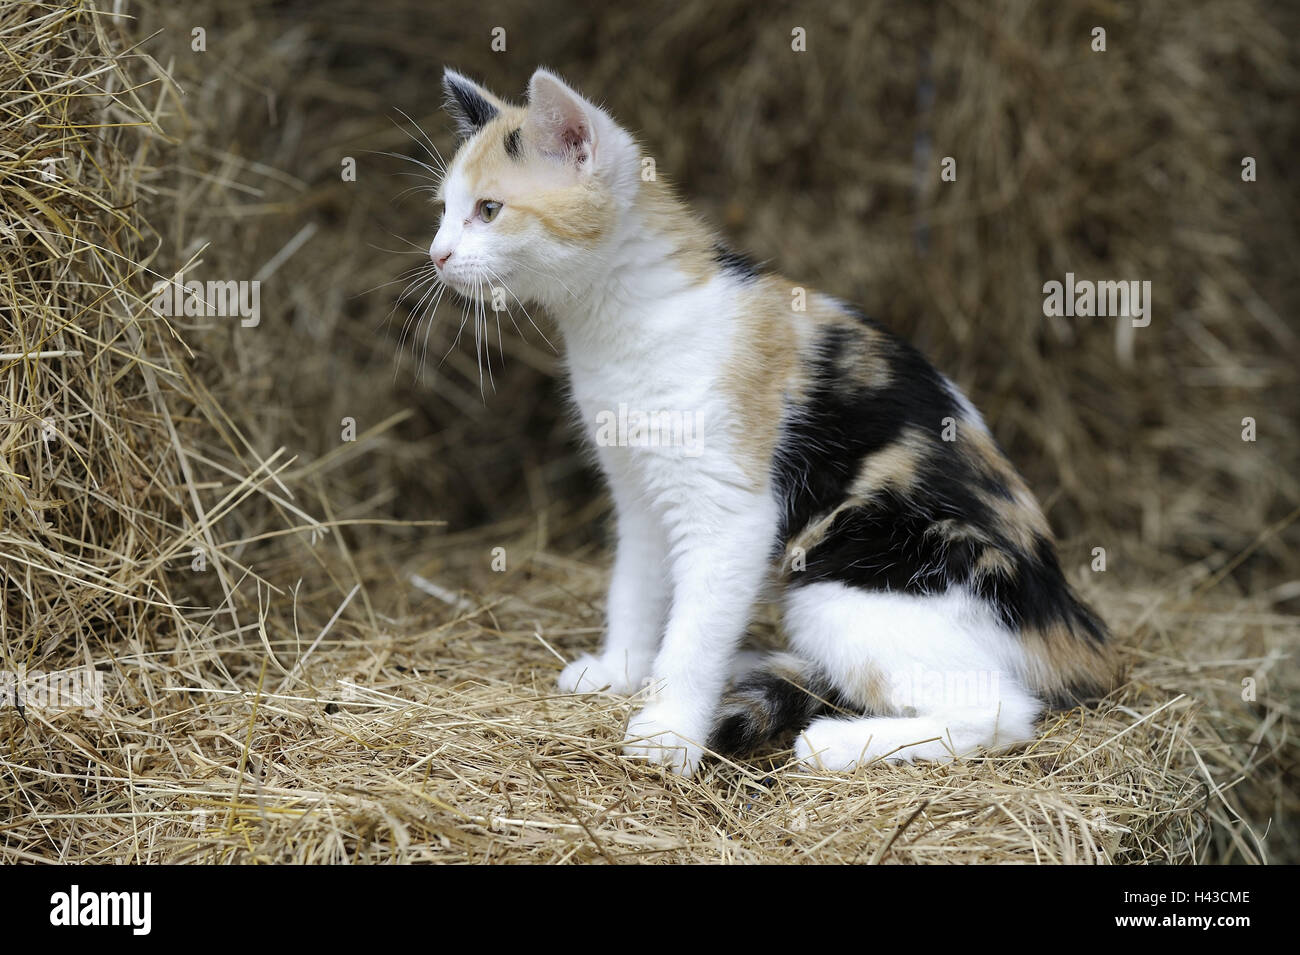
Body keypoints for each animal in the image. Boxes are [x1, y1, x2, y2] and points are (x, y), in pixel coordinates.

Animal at [428, 70, 1118, 779]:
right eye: (444, 209)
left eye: (488, 210)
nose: (437, 254)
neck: (618, 320)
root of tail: (1076, 632)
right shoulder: (639, 490)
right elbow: (635, 585)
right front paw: (621, 668)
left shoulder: (731, 509)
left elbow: (696, 627)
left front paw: (668, 732)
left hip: (853, 577)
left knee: (1001, 711)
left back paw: (835, 742)